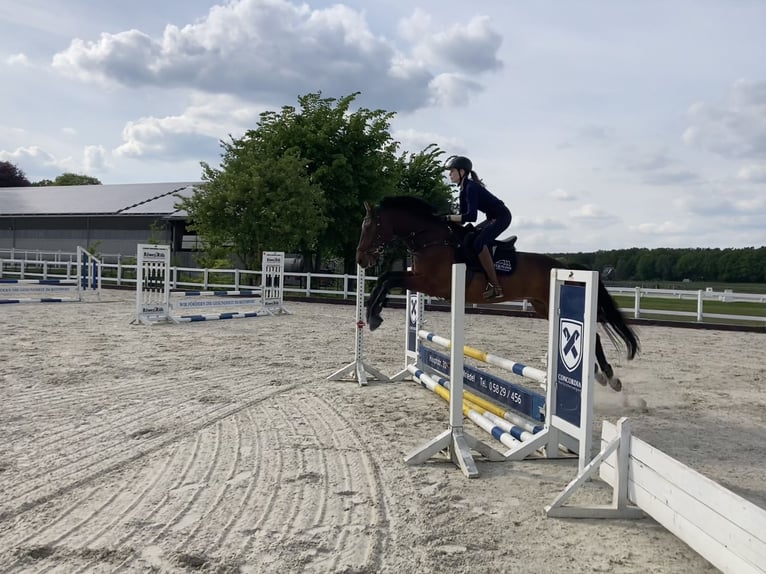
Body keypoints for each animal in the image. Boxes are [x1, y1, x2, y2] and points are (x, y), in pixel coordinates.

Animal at [356, 197, 640, 392]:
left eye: (370, 227)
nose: (360, 259)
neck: (433, 240)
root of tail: (563, 266)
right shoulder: (418, 279)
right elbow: (385, 279)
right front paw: (372, 314)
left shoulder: (431, 283)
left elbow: (387, 278)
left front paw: (373, 316)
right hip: (543, 307)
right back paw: (600, 374)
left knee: (591, 335)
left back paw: (609, 376)